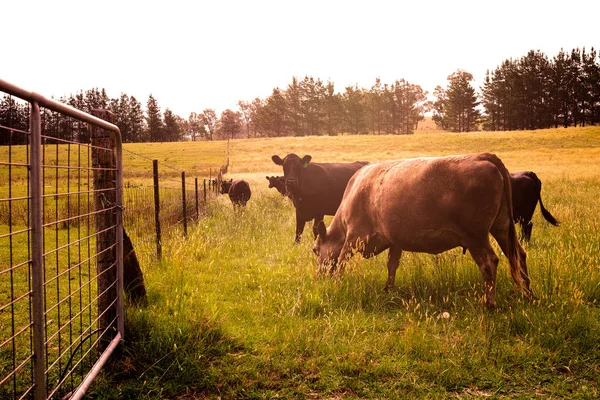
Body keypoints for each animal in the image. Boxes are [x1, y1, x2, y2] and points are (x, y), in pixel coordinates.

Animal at [314, 152, 536, 308]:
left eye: (315, 250)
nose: (318, 276)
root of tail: (482, 156)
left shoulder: (354, 236)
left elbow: (341, 261)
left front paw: (336, 283)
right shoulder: (395, 240)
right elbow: (392, 265)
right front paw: (388, 289)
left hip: (476, 236)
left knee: (489, 262)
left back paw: (489, 303)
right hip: (502, 227)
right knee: (519, 255)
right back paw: (528, 294)